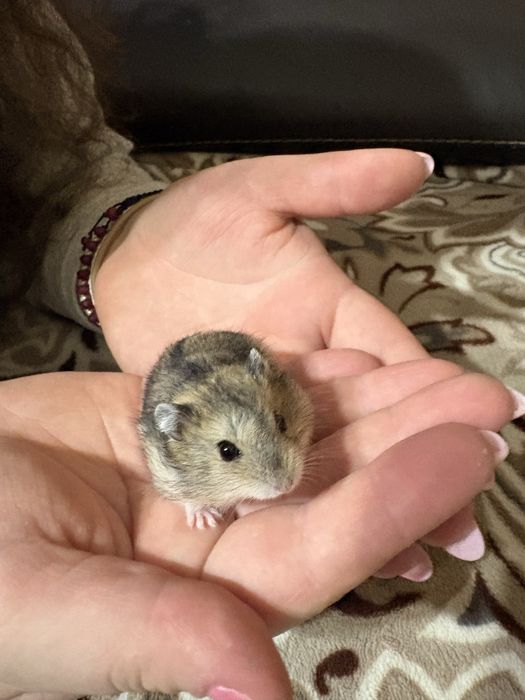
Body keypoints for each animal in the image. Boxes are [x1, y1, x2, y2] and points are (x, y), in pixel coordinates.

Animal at [138, 331, 314, 529]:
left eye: (281, 422)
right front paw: (206, 521)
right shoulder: (168, 475)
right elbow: (191, 500)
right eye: (226, 451)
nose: (286, 486)